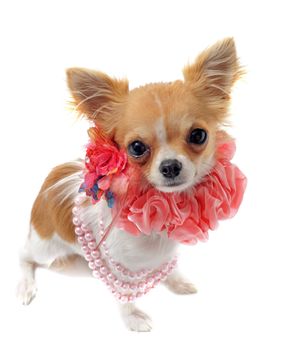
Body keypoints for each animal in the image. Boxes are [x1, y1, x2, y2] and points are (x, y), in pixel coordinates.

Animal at [16, 37, 243, 330]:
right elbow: (124, 292)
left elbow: (168, 265)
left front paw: (177, 281)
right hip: (44, 245)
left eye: (198, 135)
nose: (170, 166)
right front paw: (132, 317)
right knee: (24, 256)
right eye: (136, 147)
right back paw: (25, 285)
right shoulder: (116, 261)